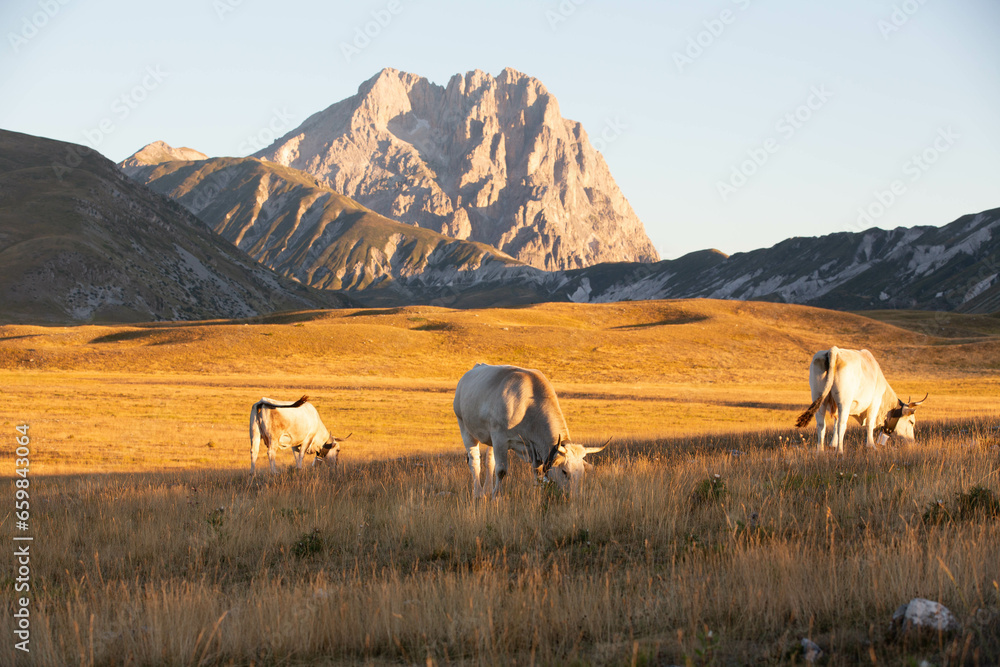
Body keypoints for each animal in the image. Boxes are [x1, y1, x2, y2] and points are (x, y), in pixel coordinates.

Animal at [454, 362, 608, 498]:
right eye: (564, 472)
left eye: (581, 473)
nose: (573, 497)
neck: (527, 405)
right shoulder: (500, 439)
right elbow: (501, 470)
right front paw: (496, 496)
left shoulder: (534, 446)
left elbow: (538, 472)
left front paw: (537, 494)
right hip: (465, 428)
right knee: (474, 461)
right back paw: (479, 493)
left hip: (490, 439)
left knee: (489, 461)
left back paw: (487, 489)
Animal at [796, 350, 928, 454]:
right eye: (911, 422)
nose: (912, 441)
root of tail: (834, 351)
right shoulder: (875, 402)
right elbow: (869, 423)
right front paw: (871, 446)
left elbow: (834, 423)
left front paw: (832, 444)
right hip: (844, 401)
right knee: (842, 425)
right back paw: (840, 452)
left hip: (818, 398)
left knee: (821, 425)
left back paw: (820, 451)